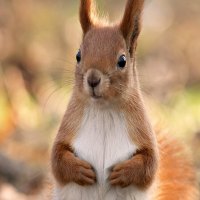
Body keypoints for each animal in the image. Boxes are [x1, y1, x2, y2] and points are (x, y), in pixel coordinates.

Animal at [50, 0, 198, 200]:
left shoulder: (142, 130)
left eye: (122, 61)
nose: (93, 79)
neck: (103, 110)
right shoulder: (69, 126)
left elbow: (150, 163)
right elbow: (57, 159)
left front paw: (123, 173)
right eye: (78, 55)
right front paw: (80, 170)